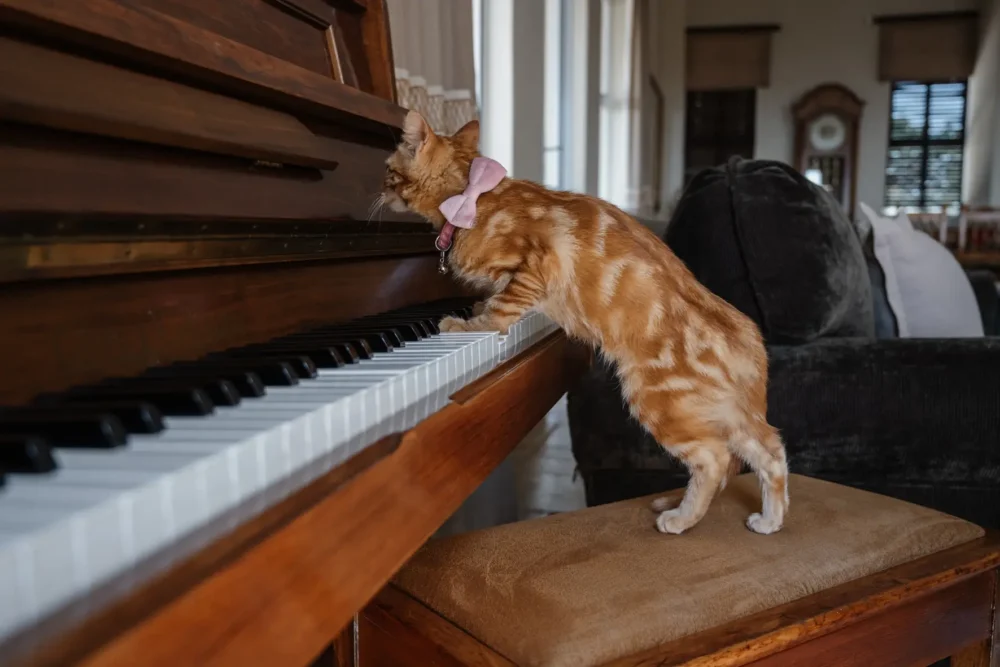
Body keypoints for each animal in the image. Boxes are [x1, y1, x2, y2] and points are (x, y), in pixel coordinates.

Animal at [382, 111, 788, 536]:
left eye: (388, 169)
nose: (379, 186)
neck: (473, 195)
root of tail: (748, 340)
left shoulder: (535, 267)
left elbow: (502, 310)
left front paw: (467, 323)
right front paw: (476, 305)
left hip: (660, 401)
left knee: (714, 460)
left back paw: (680, 517)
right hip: (729, 415)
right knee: (771, 451)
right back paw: (768, 520)